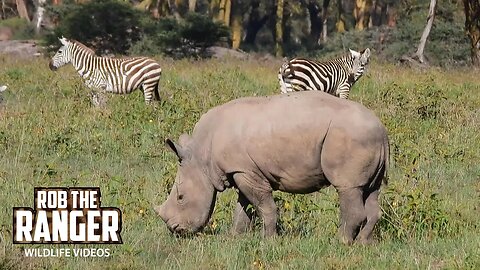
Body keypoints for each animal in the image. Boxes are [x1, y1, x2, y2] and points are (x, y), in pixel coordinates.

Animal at [156, 90, 388, 245]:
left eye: (181, 198)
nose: (175, 230)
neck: (201, 156)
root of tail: (382, 129)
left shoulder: (245, 172)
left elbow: (263, 206)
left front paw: (268, 241)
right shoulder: (243, 170)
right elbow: (243, 207)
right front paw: (234, 237)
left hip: (352, 136)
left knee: (348, 188)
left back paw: (340, 242)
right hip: (367, 138)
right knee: (371, 191)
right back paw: (364, 244)